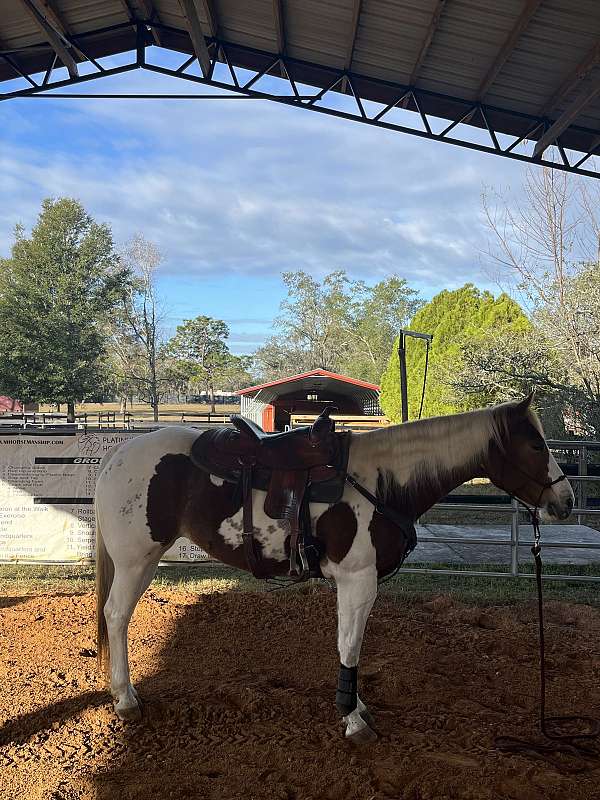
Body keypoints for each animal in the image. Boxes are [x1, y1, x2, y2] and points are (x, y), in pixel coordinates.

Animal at [94, 393, 574, 743]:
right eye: (536, 444)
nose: (565, 502)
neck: (381, 481)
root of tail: (117, 455)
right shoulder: (357, 580)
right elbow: (350, 647)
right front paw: (353, 719)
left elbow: (349, 646)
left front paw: (356, 707)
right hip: (135, 560)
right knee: (116, 616)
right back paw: (125, 700)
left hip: (145, 560)